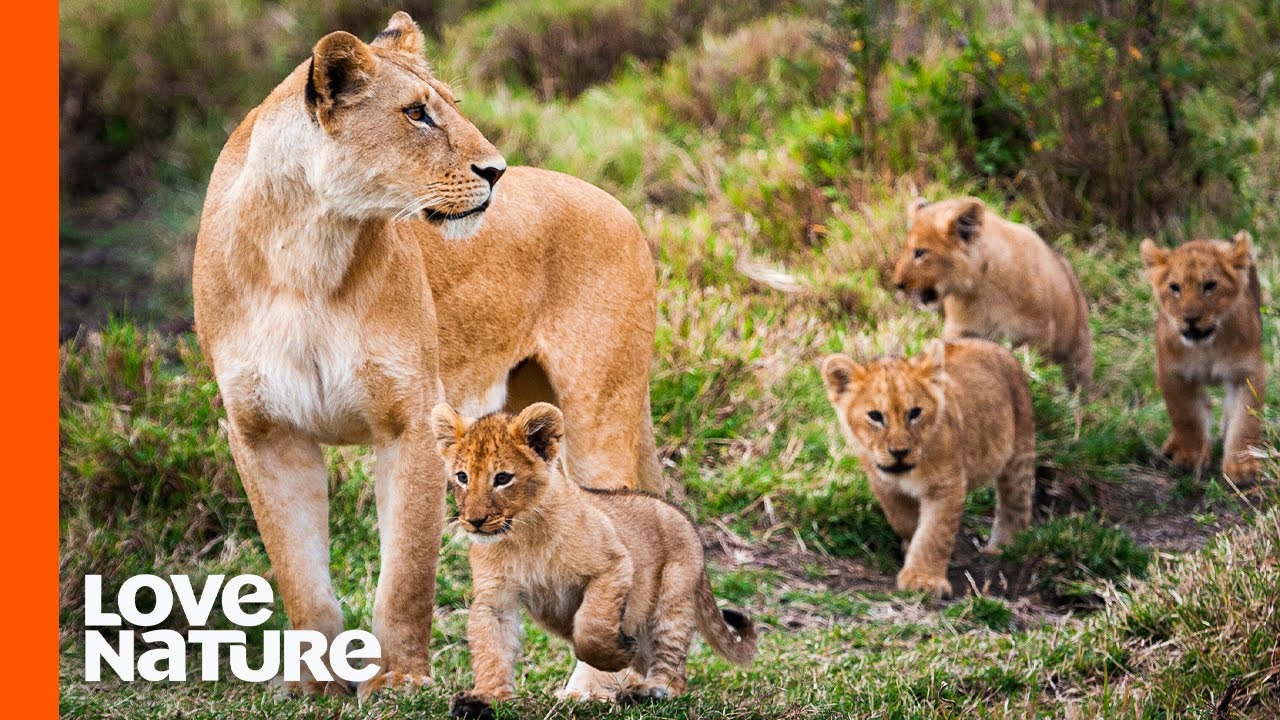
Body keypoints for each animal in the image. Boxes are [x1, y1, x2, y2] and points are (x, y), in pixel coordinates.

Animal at [192, 13, 659, 698]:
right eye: (416, 114)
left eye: (450, 107)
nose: (496, 171)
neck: (306, 248)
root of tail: (617, 203)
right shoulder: (263, 431)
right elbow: (298, 573)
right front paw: (312, 685)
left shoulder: (410, 420)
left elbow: (406, 574)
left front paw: (399, 679)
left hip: (600, 409)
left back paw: (590, 688)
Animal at [432, 402, 757, 717]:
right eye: (462, 477)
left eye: (502, 478)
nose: (474, 521)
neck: (522, 536)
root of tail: (683, 516)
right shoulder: (495, 596)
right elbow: (492, 649)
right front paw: (485, 698)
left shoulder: (613, 565)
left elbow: (591, 627)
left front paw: (616, 656)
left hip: (671, 601)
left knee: (673, 669)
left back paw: (647, 691)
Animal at [821, 339, 1036, 597]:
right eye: (875, 416)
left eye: (915, 413)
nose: (899, 452)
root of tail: (992, 345)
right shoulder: (884, 485)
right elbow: (904, 521)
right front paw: (910, 546)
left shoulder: (947, 486)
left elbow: (934, 534)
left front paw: (923, 579)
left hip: (1019, 454)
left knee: (1016, 504)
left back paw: (1005, 548)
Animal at [892, 197, 1094, 390]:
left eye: (920, 252)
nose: (897, 284)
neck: (981, 290)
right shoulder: (959, 330)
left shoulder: (1038, 334)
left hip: (1078, 353)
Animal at [1139, 232, 1266, 481]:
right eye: (1175, 287)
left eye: (1210, 286)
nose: (1190, 318)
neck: (1207, 347)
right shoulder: (1172, 373)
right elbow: (1185, 416)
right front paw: (1191, 457)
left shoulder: (1247, 372)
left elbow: (1245, 421)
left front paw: (1241, 467)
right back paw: (1173, 446)